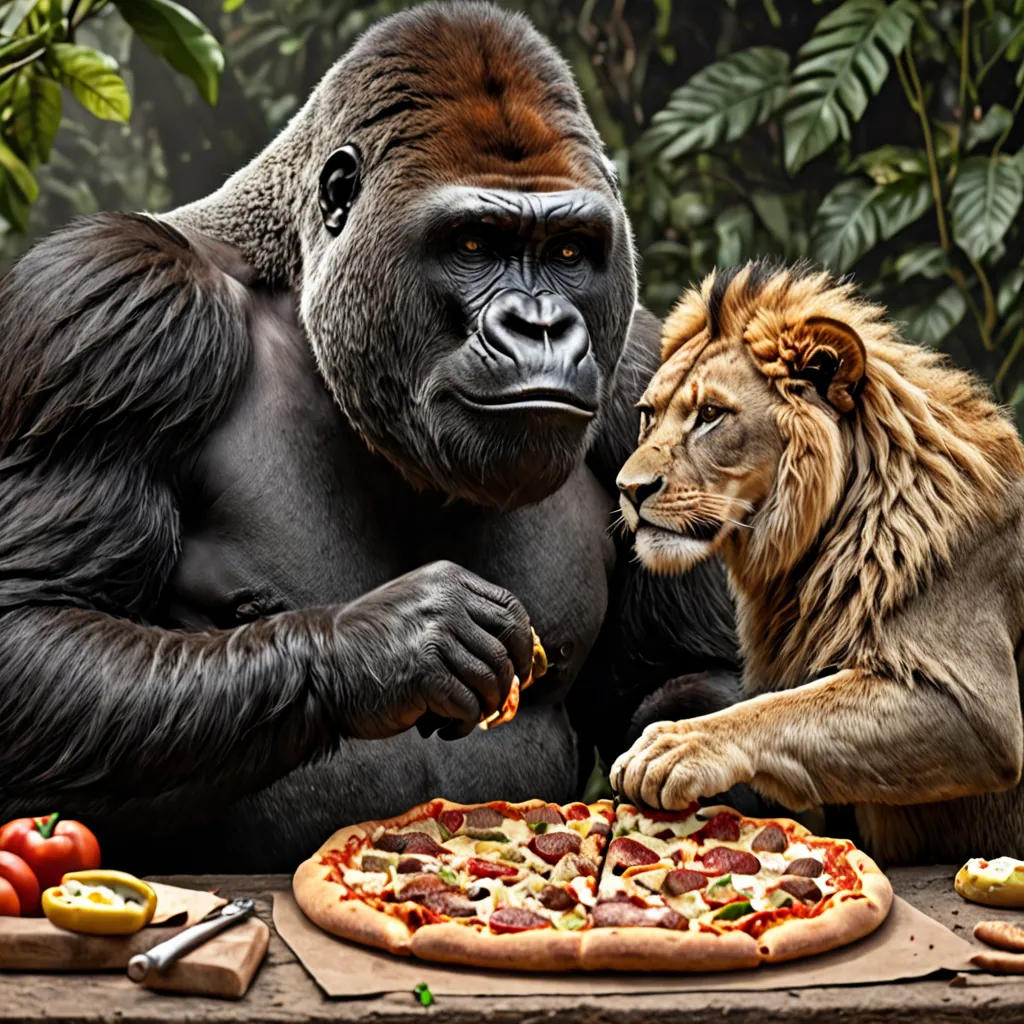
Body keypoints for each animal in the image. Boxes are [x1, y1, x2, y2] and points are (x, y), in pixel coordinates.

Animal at [609, 259, 1024, 864]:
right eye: (647, 415)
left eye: (710, 415)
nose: (628, 489)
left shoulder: (977, 710)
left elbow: (783, 708)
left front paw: (679, 742)